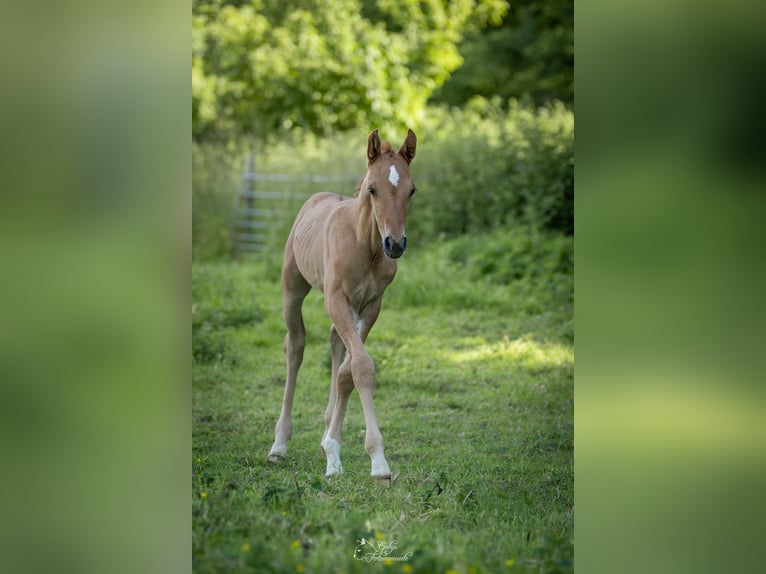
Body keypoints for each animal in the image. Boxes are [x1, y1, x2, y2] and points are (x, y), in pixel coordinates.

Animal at [267, 128, 417, 482]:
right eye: (372, 189)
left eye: (412, 191)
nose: (395, 244)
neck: (365, 246)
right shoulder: (336, 299)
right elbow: (360, 366)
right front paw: (378, 462)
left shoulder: (372, 305)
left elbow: (348, 371)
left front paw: (333, 449)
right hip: (293, 288)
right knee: (295, 346)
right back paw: (279, 444)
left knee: (336, 343)